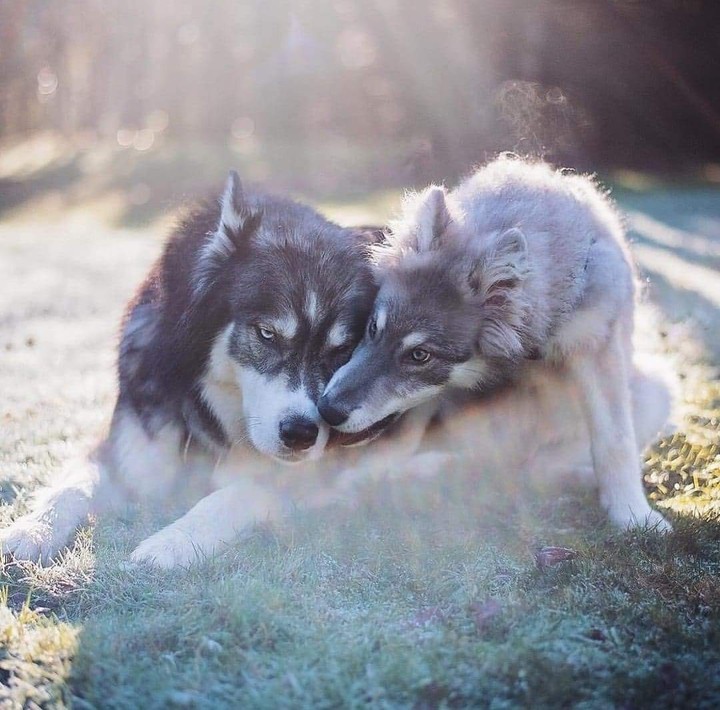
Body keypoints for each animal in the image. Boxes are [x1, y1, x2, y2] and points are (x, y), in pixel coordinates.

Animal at [0, 172, 384, 568]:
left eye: (341, 351)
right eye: (267, 334)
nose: (301, 434)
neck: (208, 411)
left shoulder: (315, 476)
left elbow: (236, 493)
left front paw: (171, 543)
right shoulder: (126, 451)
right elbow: (73, 487)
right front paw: (32, 531)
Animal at [318, 157, 672, 531]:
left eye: (420, 355)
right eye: (373, 327)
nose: (327, 409)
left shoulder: (598, 346)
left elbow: (614, 441)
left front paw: (632, 512)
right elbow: (404, 432)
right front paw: (367, 472)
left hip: (657, 390)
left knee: (536, 468)